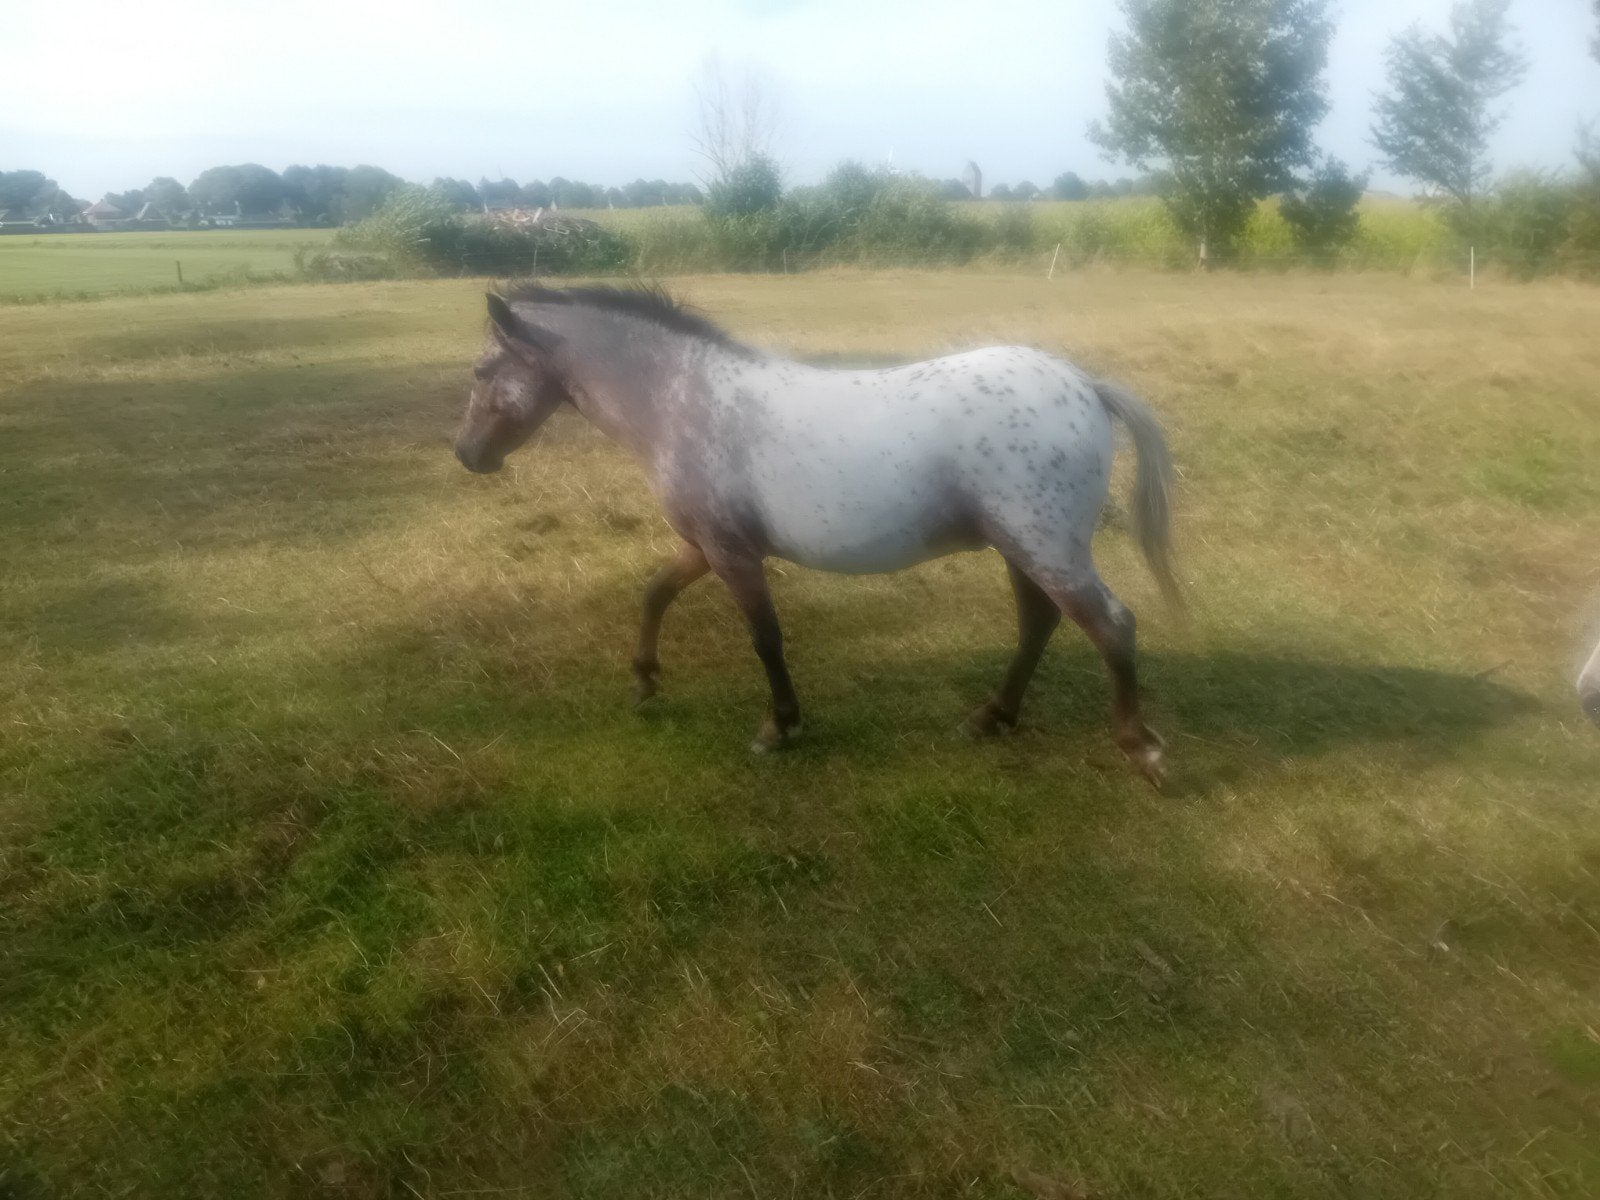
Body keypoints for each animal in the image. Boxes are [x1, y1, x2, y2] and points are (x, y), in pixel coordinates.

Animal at [453, 284, 1181, 786]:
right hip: (1021, 548)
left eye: (483, 372)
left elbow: (765, 639)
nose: (465, 454)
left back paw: (1142, 749)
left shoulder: (732, 555)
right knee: (1039, 622)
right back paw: (991, 718)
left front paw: (779, 727)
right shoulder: (704, 547)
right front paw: (645, 682)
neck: (682, 402)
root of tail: (1085, 385)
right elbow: (656, 592)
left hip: (1045, 546)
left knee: (1111, 625)